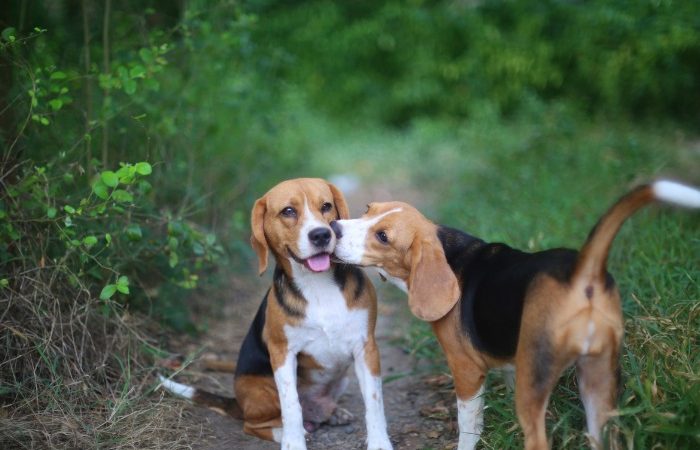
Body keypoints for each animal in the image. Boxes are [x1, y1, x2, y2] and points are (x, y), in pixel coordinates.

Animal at [161, 178, 396, 450]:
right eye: (288, 211)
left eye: (326, 206)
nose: (321, 234)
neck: (317, 285)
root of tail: (238, 403)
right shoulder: (282, 352)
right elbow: (291, 405)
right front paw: (292, 442)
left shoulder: (366, 348)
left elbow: (374, 402)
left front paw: (379, 442)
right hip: (262, 390)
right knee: (254, 424)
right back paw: (284, 432)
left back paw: (332, 413)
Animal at [330, 180, 700, 450]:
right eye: (367, 210)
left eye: (383, 237)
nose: (333, 227)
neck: (450, 254)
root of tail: (582, 269)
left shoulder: (467, 371)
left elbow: (469, 427)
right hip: (600, 381)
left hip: (536, 380)